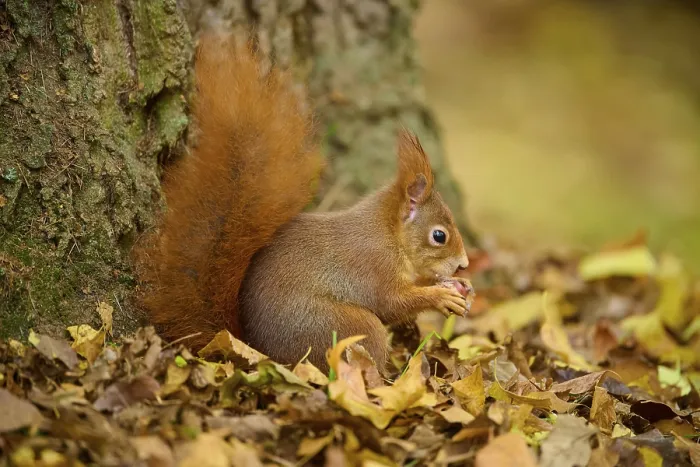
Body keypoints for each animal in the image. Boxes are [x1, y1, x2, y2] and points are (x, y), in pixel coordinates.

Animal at [135, 34, 474, 375]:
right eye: (439, 236)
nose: (463, 264)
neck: (390, 234)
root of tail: (261, 353)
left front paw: (456, 284)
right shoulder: (373, 264)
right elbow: (391, 302)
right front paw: (440, 297)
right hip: (343, 326)